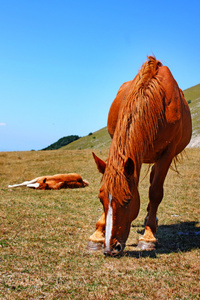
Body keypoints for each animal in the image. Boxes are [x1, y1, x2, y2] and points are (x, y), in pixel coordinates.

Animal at [88, 55, 192, 255]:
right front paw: (97, 235)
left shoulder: (167, 153)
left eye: (128, 200)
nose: (111, 248)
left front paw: (148, 237)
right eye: (100, 198)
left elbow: (155, 192)